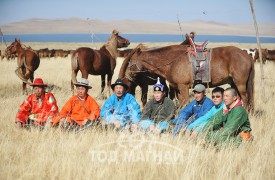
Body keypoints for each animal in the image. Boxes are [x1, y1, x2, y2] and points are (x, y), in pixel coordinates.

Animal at [119, 44, 256, 110]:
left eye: (130, 62)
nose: (127, 76)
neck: (173, 60)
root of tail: (247, 55)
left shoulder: (184, 87)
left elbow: (185, 104)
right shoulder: (179, 89)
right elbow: (180, 104)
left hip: (240, 84)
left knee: (245, 98)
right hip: (233, 83)